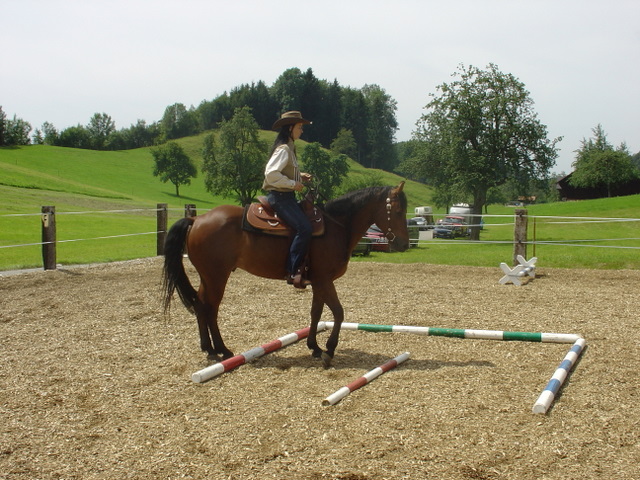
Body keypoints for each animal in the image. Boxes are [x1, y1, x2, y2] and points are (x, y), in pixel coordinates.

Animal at [162, 182, 409, 367]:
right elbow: (338, 313)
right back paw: (222, 349)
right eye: (398, 210)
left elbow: (316, 313)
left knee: (200, 304)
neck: (337, 227)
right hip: (216, 276)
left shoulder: (318, 282)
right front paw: (329, 350)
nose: (404, 244)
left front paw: (314, 347)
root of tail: (196, 219)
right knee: (210, 308)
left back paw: (210, 349)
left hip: (208, 276)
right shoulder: (324, 280)